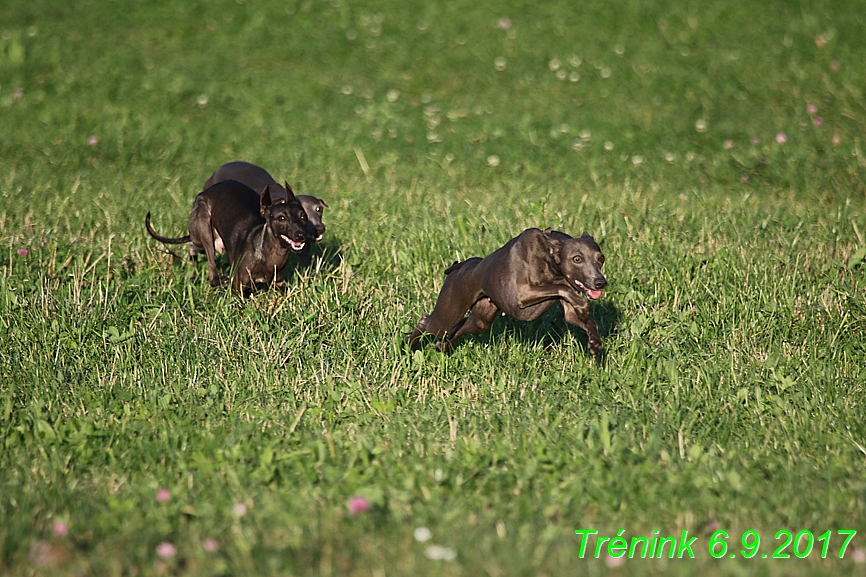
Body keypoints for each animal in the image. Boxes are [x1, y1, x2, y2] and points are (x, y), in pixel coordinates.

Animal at [147, 179, 308, 296]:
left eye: (303, 216)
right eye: (281, 218)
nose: (301, 235)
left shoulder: (278, 283)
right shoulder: (239, 287)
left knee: (194, 247)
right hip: (204, 224)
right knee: (211, 272)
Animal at [406, 226, 604, 354]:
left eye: (601, 258)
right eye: (577, 258)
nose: (601, 282)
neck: (548, 254)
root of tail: (460, 266)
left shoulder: (568, 307)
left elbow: (586, 320)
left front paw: (595, 343)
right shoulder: (524, 293)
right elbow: (562, 287)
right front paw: (583, 307)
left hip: (481, 322)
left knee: (459, 328)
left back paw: (441, 347)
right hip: (446, 317)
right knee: (427, 321)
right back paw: (409, 343)